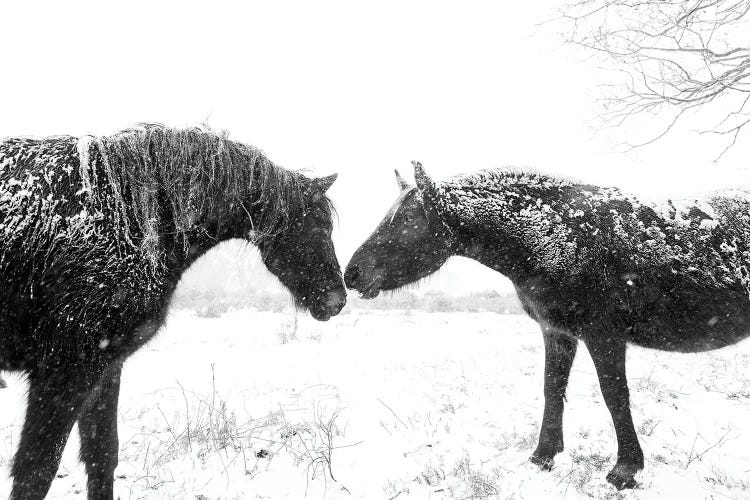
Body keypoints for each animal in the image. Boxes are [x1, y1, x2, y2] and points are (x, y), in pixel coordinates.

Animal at [0, 124, 346, 496]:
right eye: (317, 227)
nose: (338, 300)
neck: (132, 223)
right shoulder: (64, 373)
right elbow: (37, 471)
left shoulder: (105, 368)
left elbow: (102, 456)